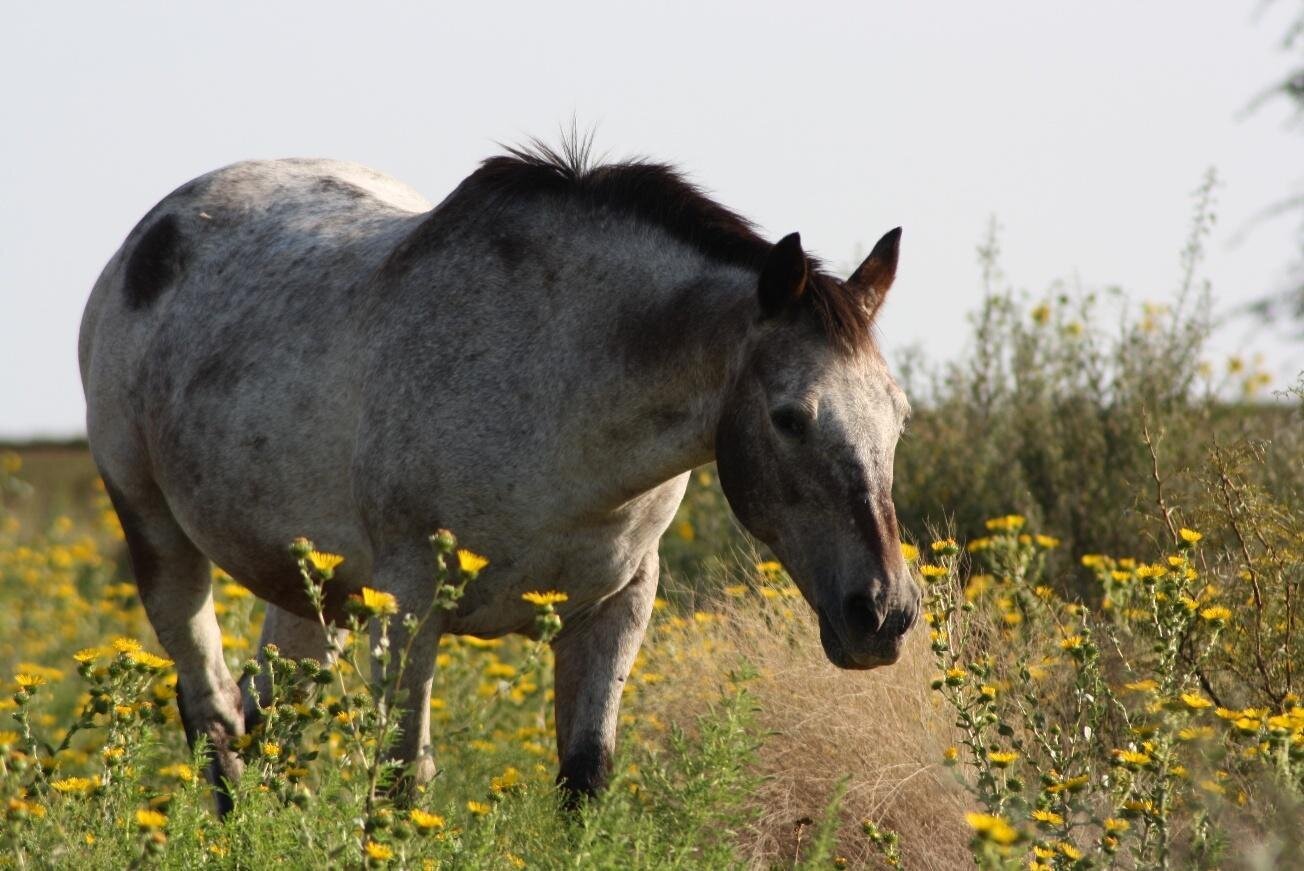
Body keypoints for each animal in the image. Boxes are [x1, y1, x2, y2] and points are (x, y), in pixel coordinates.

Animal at [78, 140, 920, 813]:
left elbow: (585, 777)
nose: (883, 613)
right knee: (213, 711)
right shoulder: (411, 605)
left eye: (901, 413)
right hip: (158, 533)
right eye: (789, 416)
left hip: (314, 592)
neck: (562, 390)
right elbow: (401, 781)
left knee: (262, 714)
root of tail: (145, 241)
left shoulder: (617, 606)